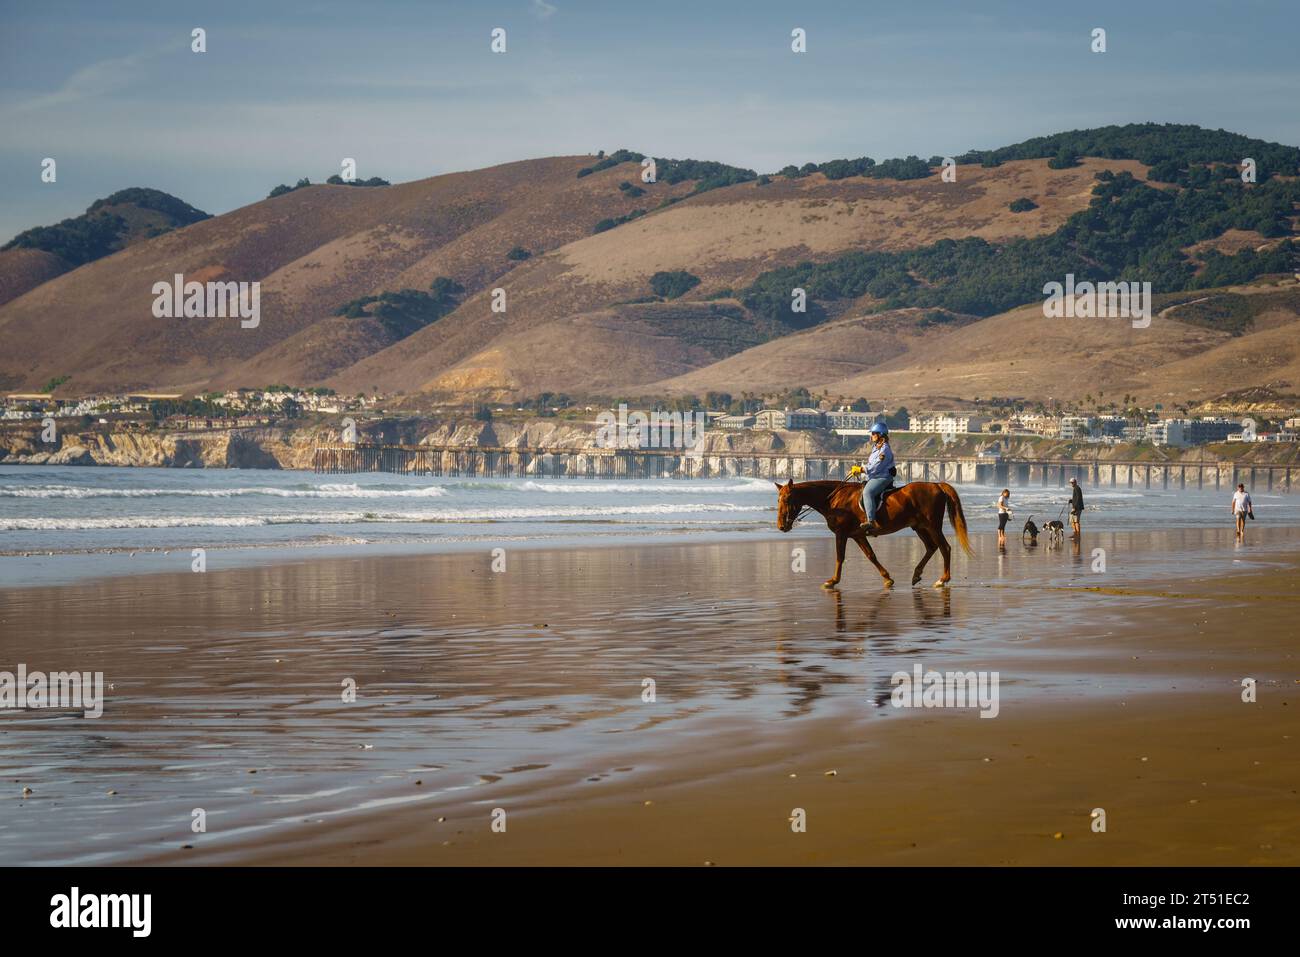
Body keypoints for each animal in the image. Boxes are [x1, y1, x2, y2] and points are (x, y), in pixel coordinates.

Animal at [769, 475, 977, 587]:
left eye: (787, 499)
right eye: (778, 500)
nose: (781, 526)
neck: (834, 499)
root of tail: (936, 485)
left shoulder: (842, 533)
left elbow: (839, 557)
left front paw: (833, 581)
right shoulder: (858, 535)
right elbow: (871, 556)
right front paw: (887, 578)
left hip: (932, 526)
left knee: (945, 548)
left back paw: (943, 579)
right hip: (919, 527)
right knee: (931, 548)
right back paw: (917, 574)